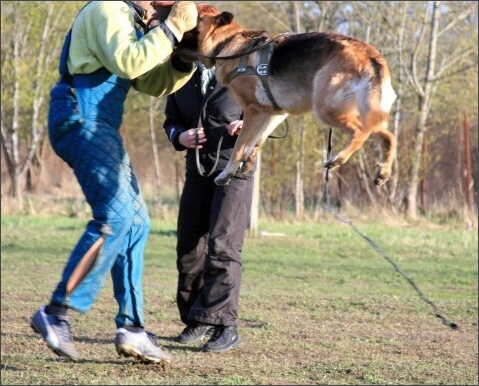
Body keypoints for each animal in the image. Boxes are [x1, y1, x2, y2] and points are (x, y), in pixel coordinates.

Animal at [167, 3, 400, 186]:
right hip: (364, 113)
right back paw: (384, 171)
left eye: (189, 22)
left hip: (327, 109)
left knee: (361, 131)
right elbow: (257, 140)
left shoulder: (253, 110)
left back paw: (338, 159)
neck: (227, 43)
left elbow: (239, 146)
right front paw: (248, 161)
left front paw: (226, 173)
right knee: (388, 136)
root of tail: (370, 56)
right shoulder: (274, 113)